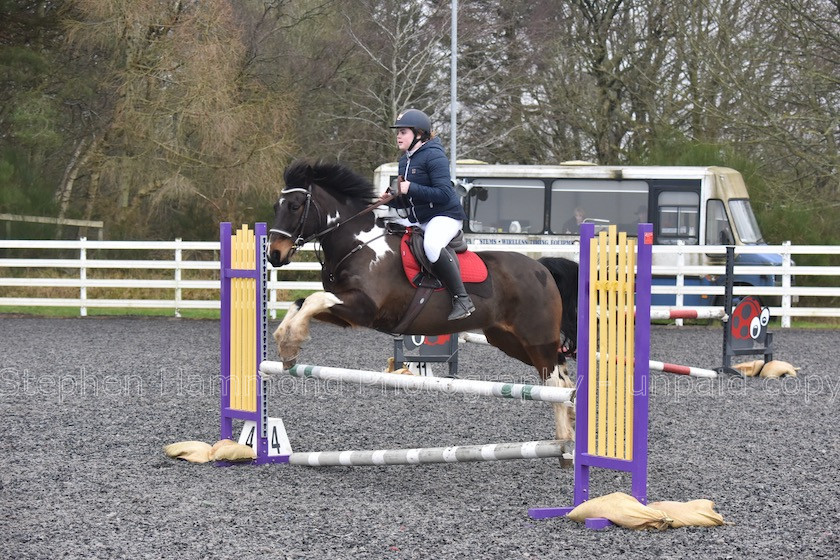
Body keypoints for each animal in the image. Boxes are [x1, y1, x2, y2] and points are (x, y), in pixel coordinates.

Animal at [268, 158, 576, 442]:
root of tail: (542, 268)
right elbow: (303, 303)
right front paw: (286, 343)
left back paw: (564, 442)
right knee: (560, 374)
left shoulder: (363, 308)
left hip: (536, 338)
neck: (359, 244)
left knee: (554, 383)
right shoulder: (345, 311)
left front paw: (290, 342)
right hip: (508, 340)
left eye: (294, 206)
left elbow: (314, 299)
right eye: (276, 207)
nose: (274, 254)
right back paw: (569, 430)